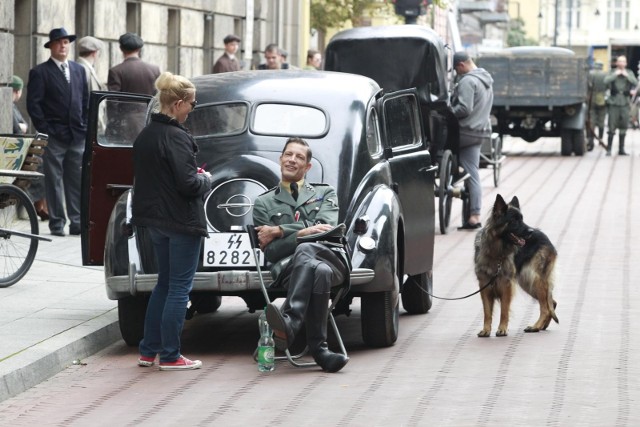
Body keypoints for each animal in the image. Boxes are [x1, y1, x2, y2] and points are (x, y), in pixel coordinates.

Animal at [472, 194, 556, 338]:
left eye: (522, 219)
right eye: (514, 221)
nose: (531, 232)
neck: (496, 253)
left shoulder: (506, 285)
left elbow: (504, 310)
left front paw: (502, 329)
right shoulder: (485, 286)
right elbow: (487, 312)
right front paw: (486, 330)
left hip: (532, 279)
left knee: (546, 307)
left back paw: (535, 326)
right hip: (528, 282)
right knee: (552, 303)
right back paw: (542, 326)